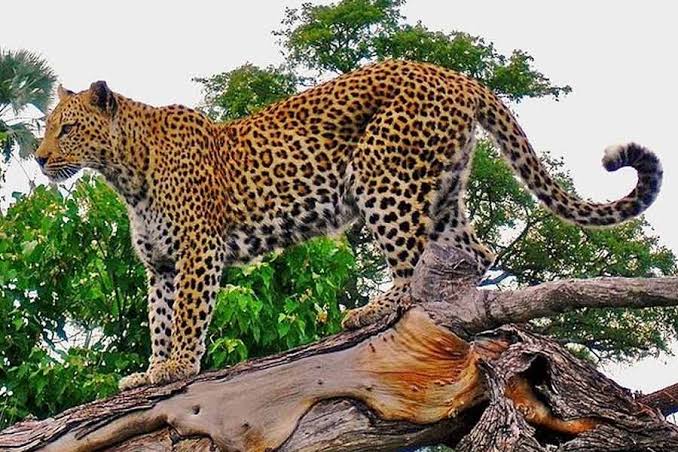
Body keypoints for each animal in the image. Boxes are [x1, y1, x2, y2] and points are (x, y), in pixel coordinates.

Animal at [34, 60, 663, 389]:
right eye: (46, 127)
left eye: (67, 128)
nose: (38, 158)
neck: (125, 171)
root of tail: (456, 76)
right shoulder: (161, 264)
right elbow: (160, 320)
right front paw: (151, 371)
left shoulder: (197, 252)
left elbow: (187, 316)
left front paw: (177, 369)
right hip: (442, 192)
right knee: (474, 252)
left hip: (384, 179)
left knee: (410, 266)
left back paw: (375, 310)